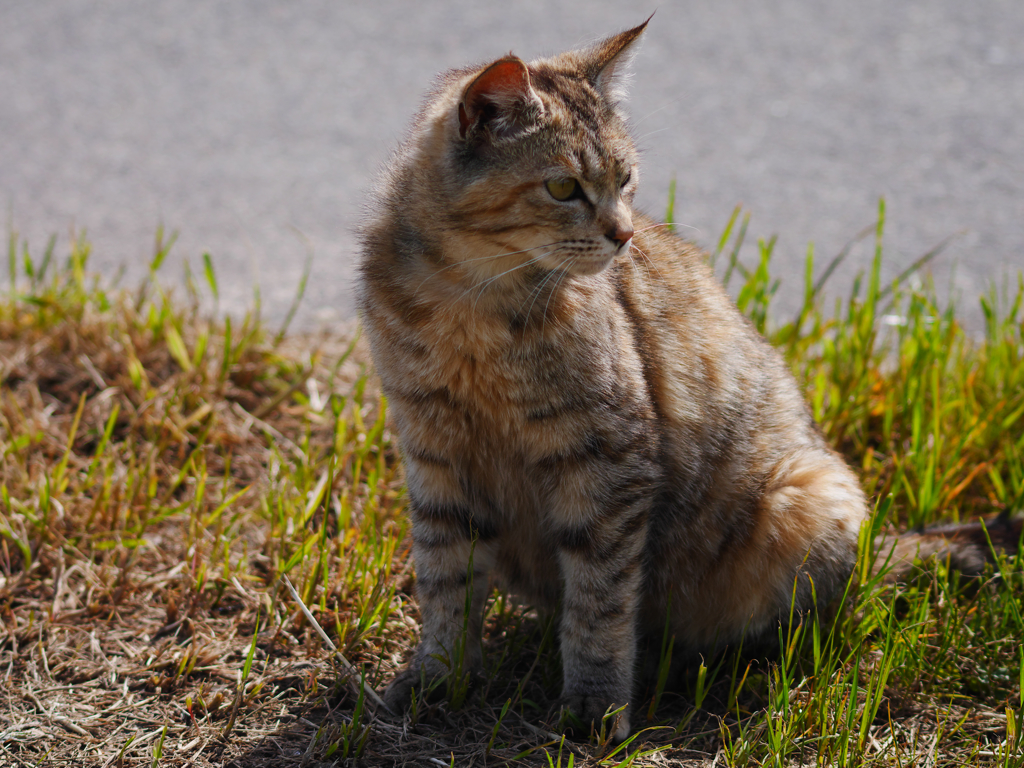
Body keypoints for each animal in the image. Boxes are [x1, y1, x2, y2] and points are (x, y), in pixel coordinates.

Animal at [356, 18, 1011, 741]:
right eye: (563, 188)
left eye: (626, 180)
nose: (623, 235)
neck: (468, 302)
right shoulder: (433, 452)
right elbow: (444, 579)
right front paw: (440, 676)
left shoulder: (610, 461)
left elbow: (601, 601)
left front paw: (594, 705)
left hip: (807, 496)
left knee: (796, 625)